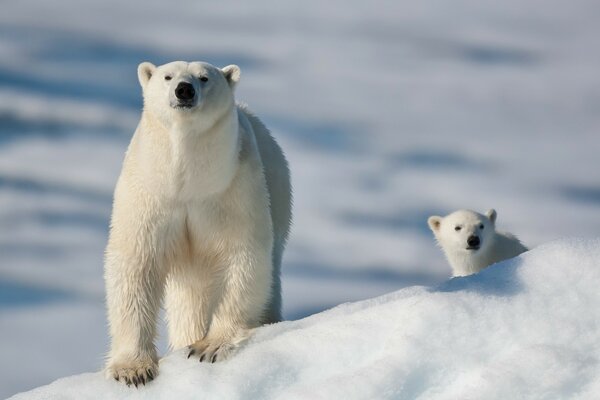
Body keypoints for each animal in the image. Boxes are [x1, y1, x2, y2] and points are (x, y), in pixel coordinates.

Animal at [104, 61, 292, 386]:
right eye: (168, 76)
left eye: (204, 78)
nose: (184, 90)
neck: (187, 181)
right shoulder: (150, 191)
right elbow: (135, 263)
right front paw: (133, 369)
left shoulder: (232, 188)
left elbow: (242, 257)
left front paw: (209, 346)